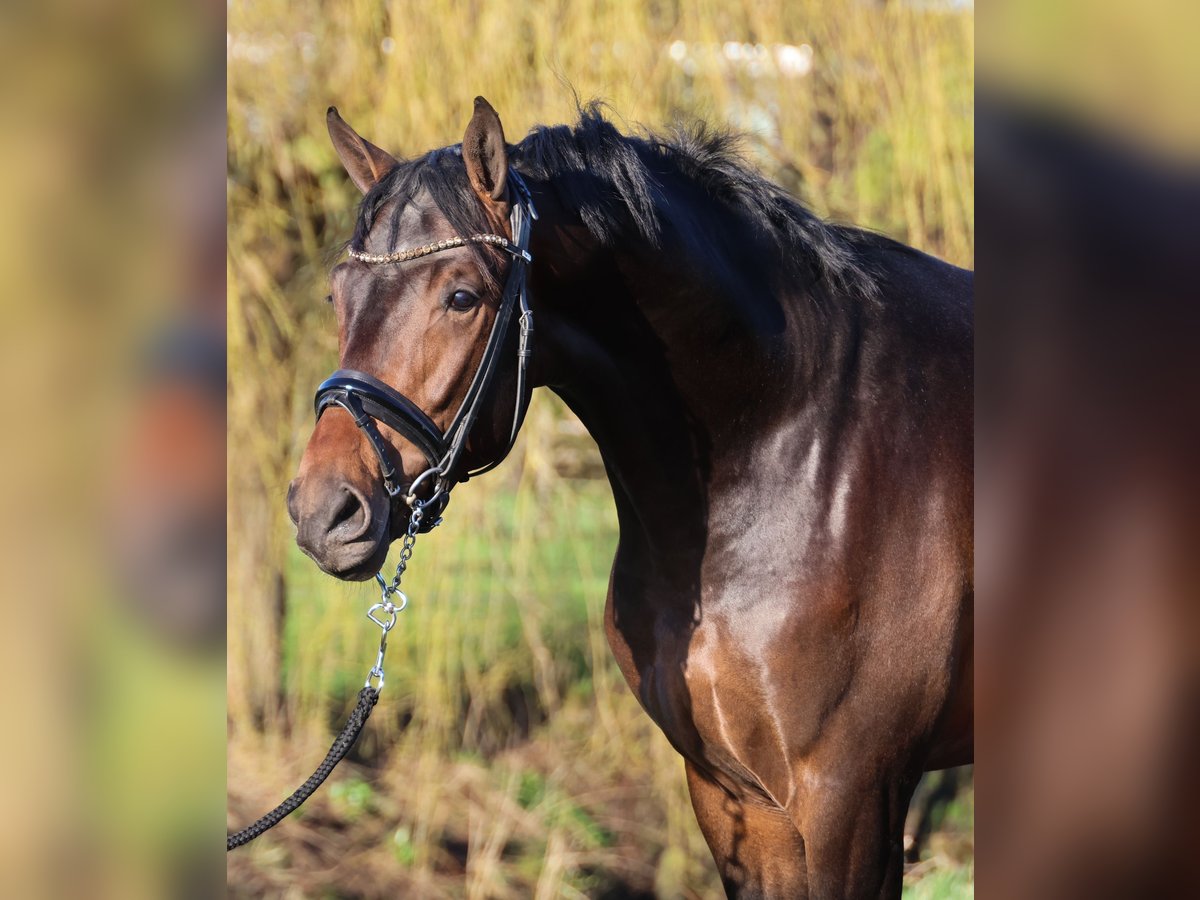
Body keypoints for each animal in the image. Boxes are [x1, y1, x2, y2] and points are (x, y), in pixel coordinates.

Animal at [290, 95, 974, 897]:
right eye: (337, 294)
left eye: (461, 297)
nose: (323, 512)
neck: (798, 434)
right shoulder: (735, 794)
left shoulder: (853, 798)